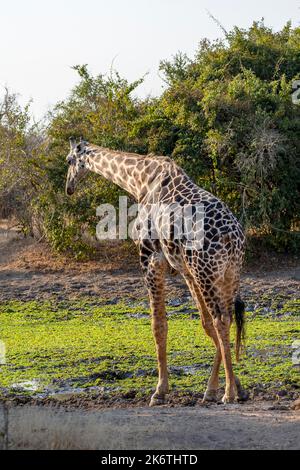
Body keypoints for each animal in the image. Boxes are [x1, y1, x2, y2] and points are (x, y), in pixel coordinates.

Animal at [65, 136, 248, 404]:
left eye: (69, 160)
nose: (68, 187)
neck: (138, 181)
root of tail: (232, 238)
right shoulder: (183, 269)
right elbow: (203, 323)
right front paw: (222, 387)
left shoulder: (150, 258)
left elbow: (158, 325)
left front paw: (160, 390)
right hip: (227, 275)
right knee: (226, 318)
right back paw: (227, 389)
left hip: (206, 272)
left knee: (221, 320)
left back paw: (228, 394)